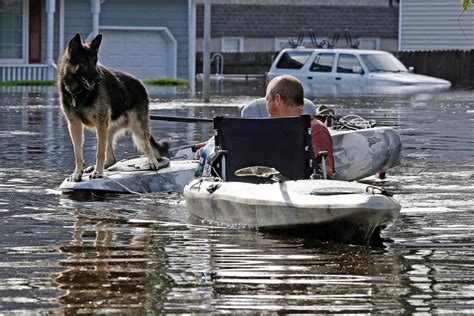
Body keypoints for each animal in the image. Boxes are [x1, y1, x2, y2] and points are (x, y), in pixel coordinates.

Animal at [58, 33, 168, 181]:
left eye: (95, 61)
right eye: (85, 62)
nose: (99, 78)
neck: (78, 92)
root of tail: (140, 83)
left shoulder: (100, 123)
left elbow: (99, 152)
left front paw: (98, 173)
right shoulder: (74, 126)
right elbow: (78, 154)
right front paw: (77, 173)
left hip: (135, 127)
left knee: (147, 146)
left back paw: (152, 162)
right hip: (108, 129)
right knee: (112, 159)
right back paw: (93, 167)